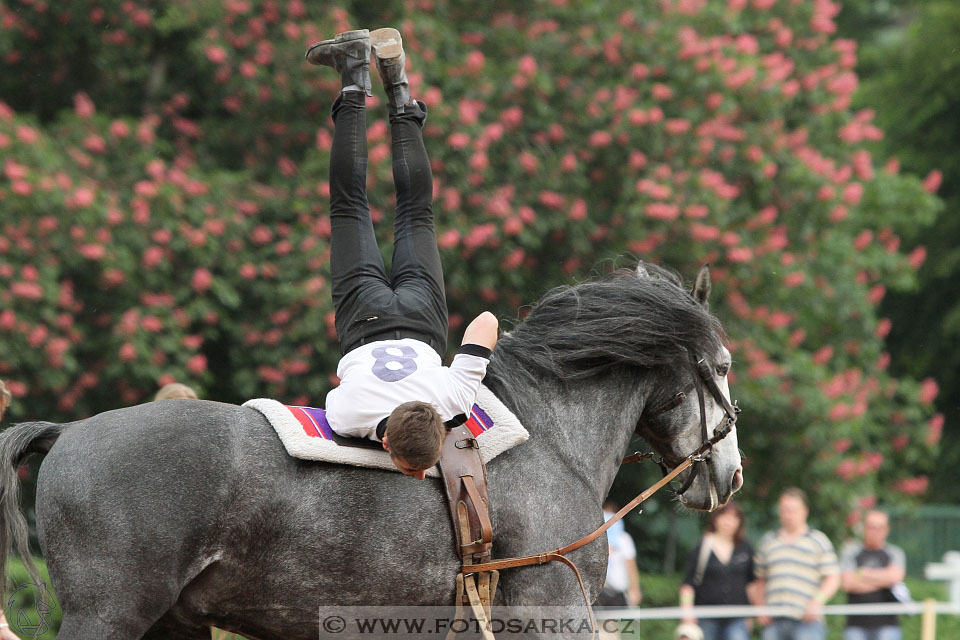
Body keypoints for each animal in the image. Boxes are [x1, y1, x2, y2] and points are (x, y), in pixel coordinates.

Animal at [0, 262, 744, 636]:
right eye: (723, 365)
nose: (730, 475)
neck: (550, 432)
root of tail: (68, 432)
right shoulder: (553, 613)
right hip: (110, 615)